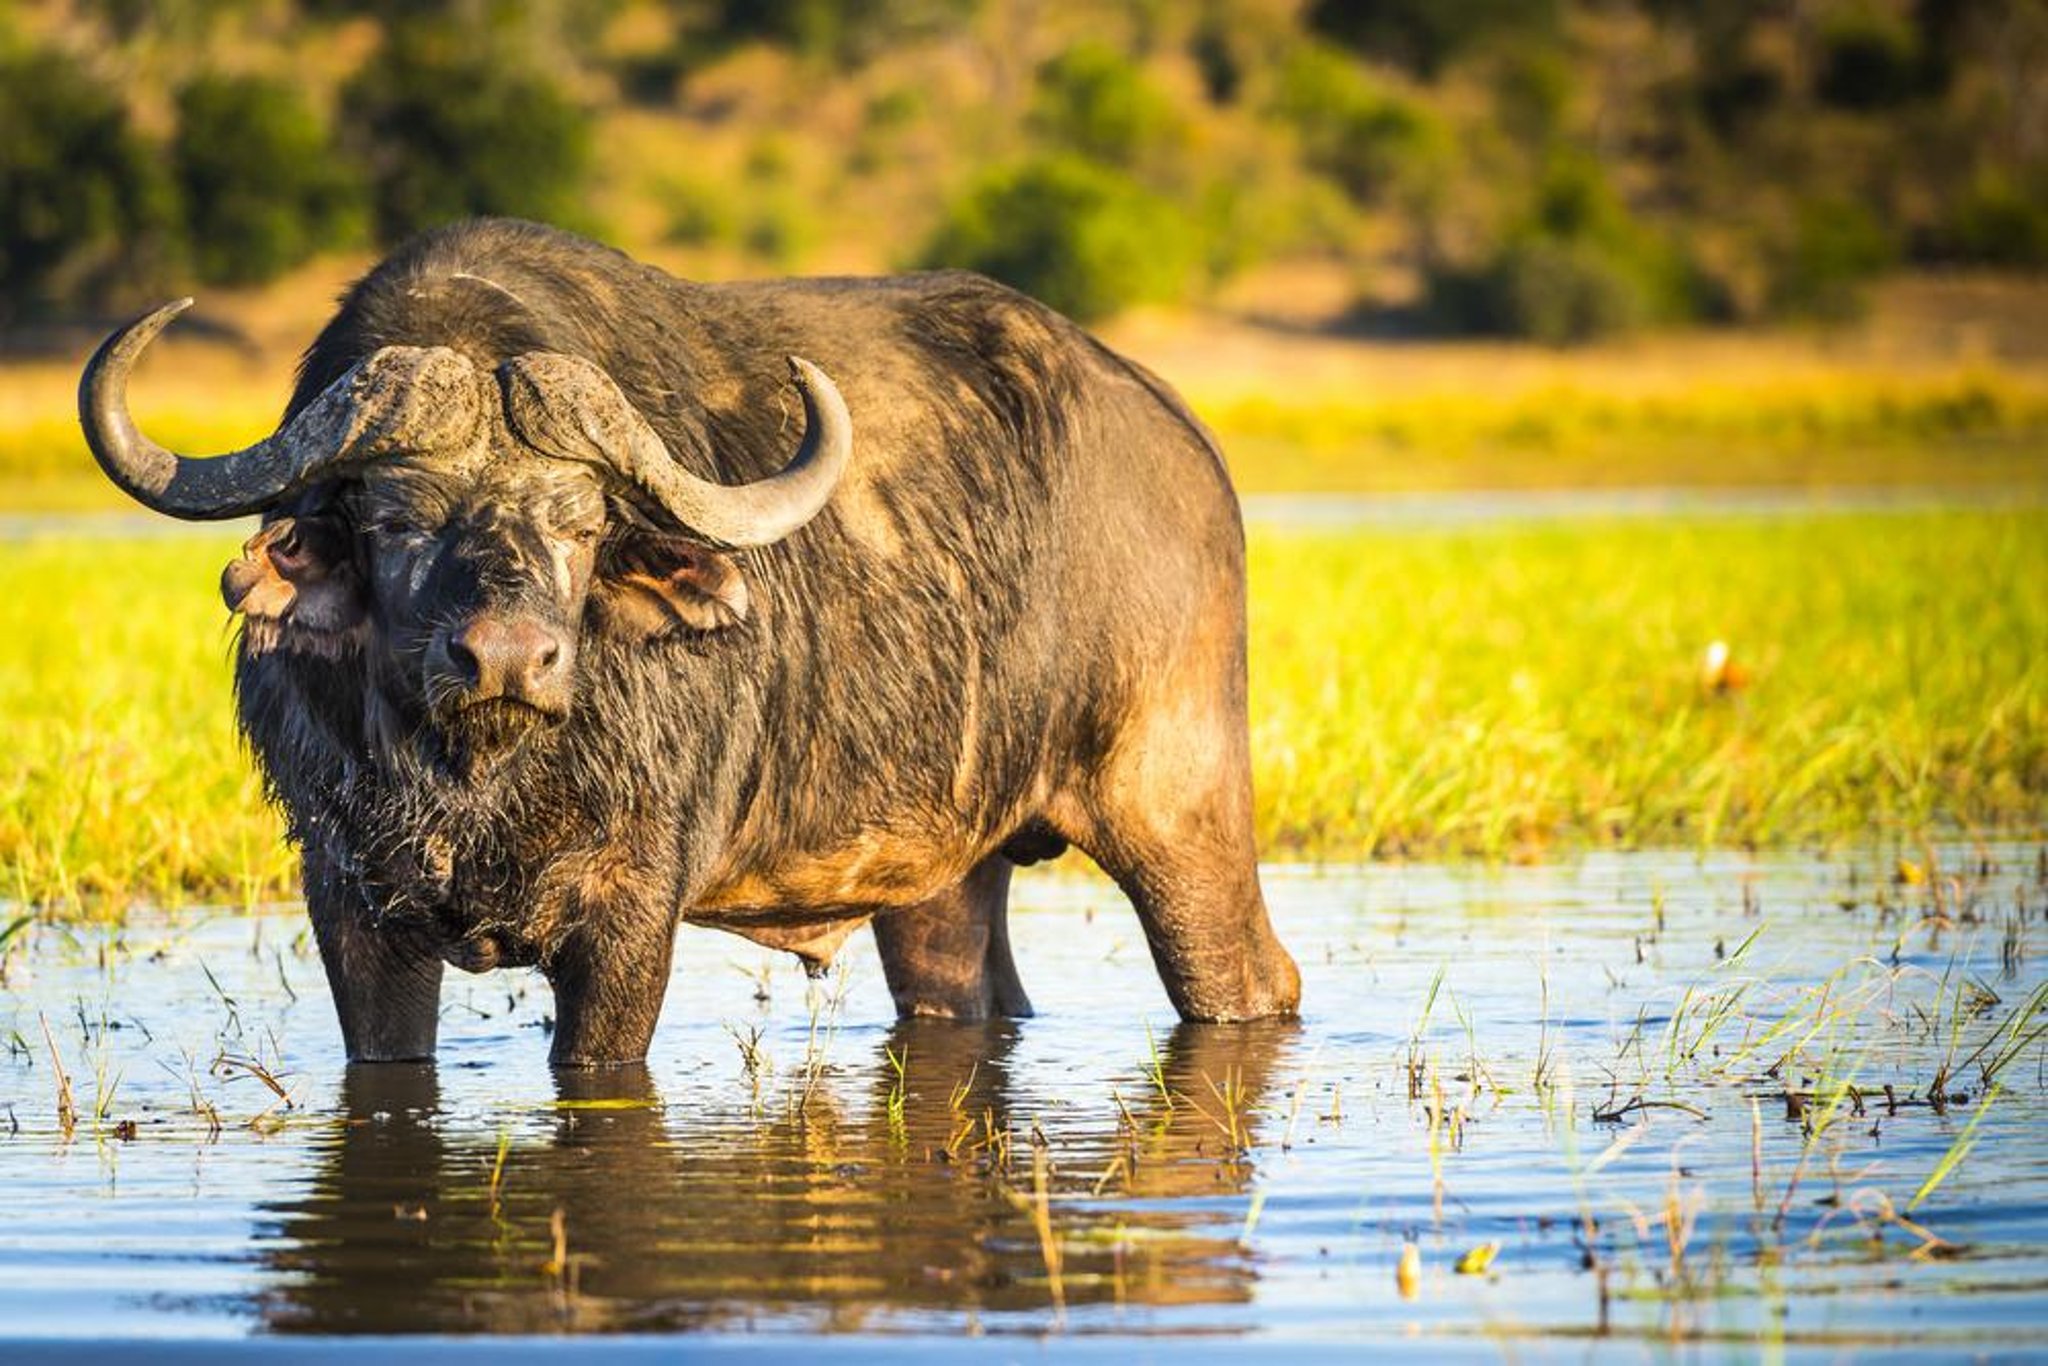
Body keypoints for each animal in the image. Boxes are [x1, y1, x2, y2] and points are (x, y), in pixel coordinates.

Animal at [83, 216, 1294, 1064]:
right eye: (393, 519)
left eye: (580, 524)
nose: (508, 658)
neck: (482, 779)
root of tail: (1178, 438)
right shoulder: (351, 906)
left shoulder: (628, 917)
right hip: (944, 875)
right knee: (967, 990)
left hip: (1178, 809)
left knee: (1249, 979)